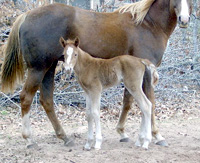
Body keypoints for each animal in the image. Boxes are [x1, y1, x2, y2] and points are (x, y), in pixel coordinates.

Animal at [1, 0, 192, 148]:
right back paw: (29, 139)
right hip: (38, 69)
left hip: (49, 68)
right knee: (26, 97)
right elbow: (149, 102)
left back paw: (64, 137)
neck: (148, 24)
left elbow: (128, 102)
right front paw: (156, 135)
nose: (184, 19)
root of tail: (26, 16)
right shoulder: (146, 73)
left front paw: (123, 132)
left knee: (46, 100)